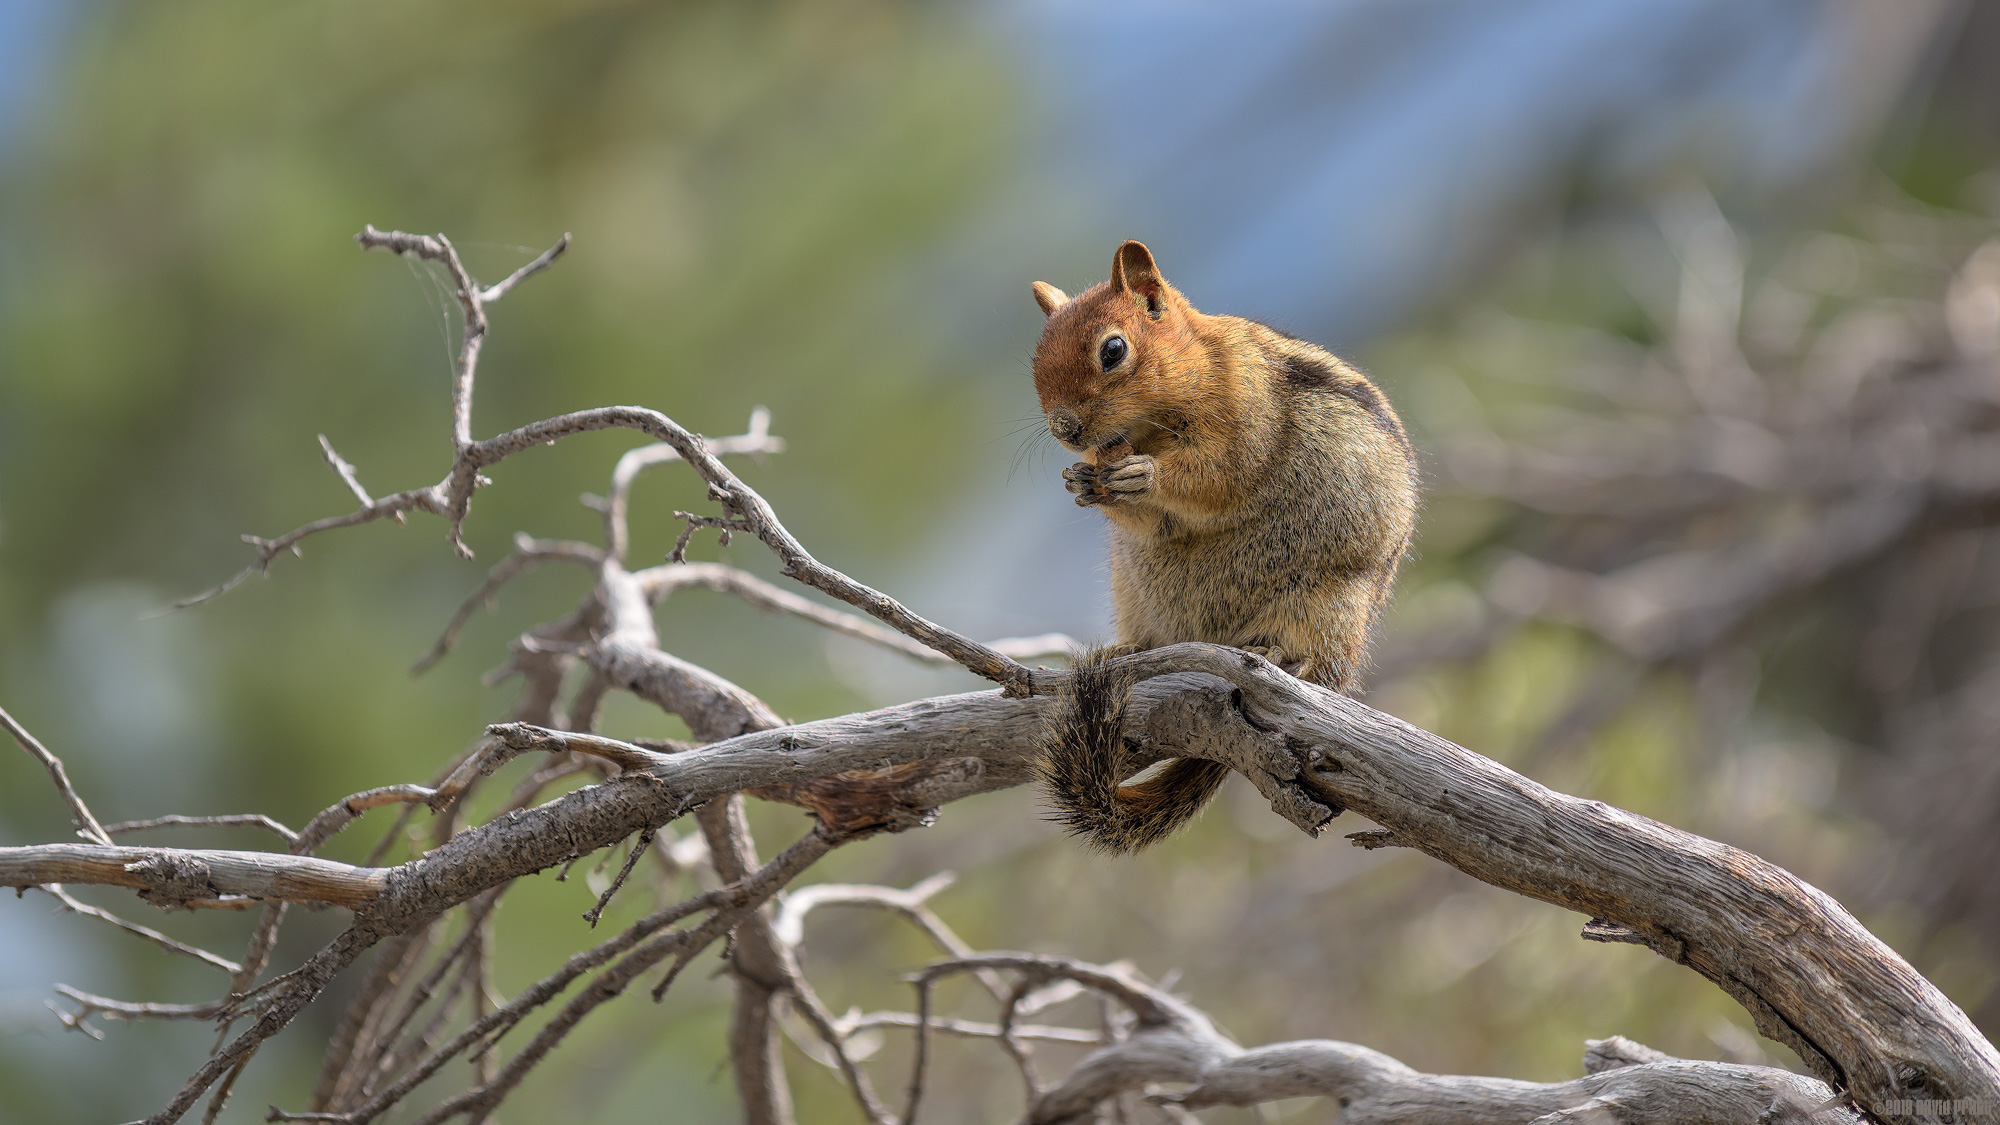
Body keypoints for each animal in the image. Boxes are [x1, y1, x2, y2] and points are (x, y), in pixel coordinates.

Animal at [1028, 239, 1418, 853]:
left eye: (1113, 350)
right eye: (1035, 361)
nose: (1065, 428)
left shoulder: (1245, 411)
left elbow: (1219, 474)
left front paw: (1148, 474)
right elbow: (1143, 517)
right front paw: (1082, 482)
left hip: (1329, 603)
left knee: (1320, 662)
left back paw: (1282, 655)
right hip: (1131, 588)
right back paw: (1127, 650)